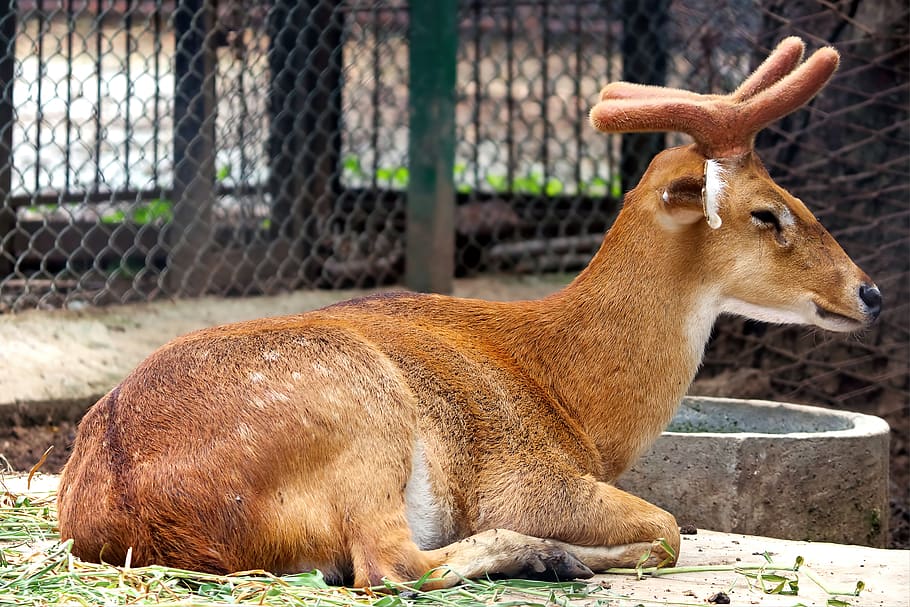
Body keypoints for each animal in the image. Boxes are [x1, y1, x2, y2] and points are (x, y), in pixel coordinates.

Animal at [57, 38, 884, 588]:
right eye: (768, 213)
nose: (869, 292)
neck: (578, 403)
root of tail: (131, 517)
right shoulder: (526, 474)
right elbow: (669, 528)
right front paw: (580, 549)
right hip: (362, 416)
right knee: (388, 565)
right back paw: (551, 555)